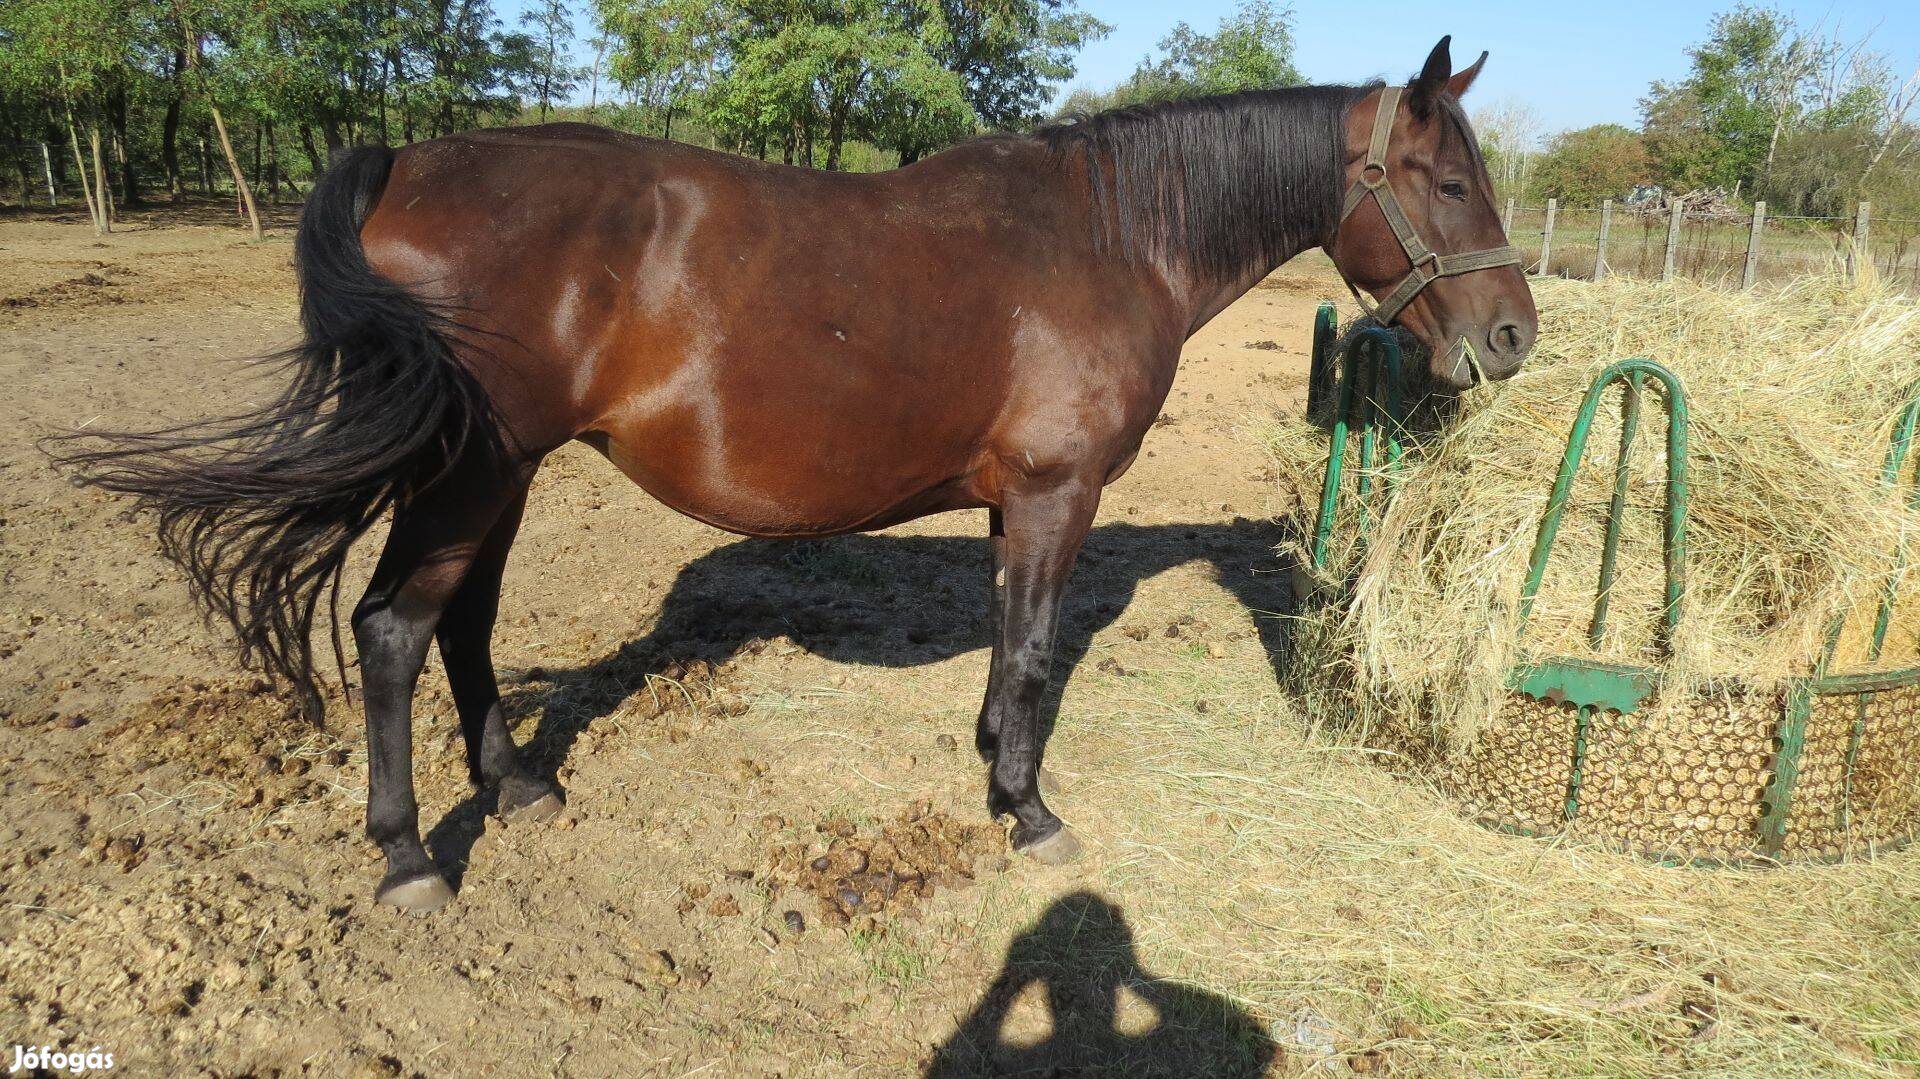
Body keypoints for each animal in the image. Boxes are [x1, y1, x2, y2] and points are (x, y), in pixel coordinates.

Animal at [52, 37, 1536, 906]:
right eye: (1447, 183)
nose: (1517, 337)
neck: (1110, 239)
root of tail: (412, 156)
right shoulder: (1057, 493)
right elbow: (1037, 651)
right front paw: (1025, 807)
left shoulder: (1016, 505)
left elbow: (1008, 643)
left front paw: (990, 760)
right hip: (469, 476)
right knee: (391, 630)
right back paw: (411, 852)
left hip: (504, 474)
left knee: (461, 624)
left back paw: (517, 786)